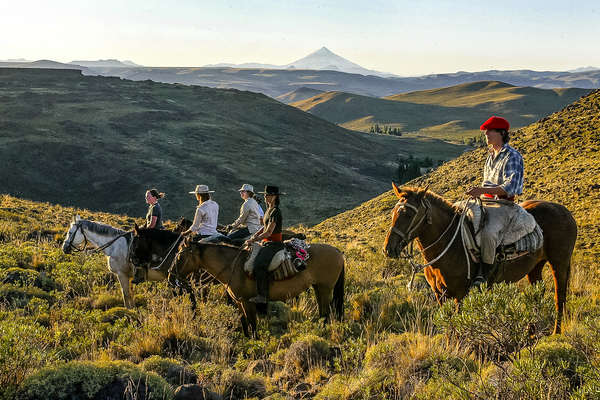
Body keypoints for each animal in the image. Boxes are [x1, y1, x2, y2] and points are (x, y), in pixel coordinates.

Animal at [170, 238, 346, 338]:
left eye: (180, 256)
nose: (171, 276)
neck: (233, 266)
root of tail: (338, 251)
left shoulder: (248, 302)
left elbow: (252, 323)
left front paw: (256, 342)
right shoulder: (239, 301)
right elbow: (243, 322)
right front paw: (247, 340)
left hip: (325, 288)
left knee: (325, 313)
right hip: (318, 287)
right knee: (324, 313)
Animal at [384, 184, 576, 334]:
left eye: (408, 214)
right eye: (393, 212)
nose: (388, 248)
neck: (451, 242)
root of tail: (566, 211)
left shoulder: (460, 295)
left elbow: (457, 325)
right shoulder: (440, 295)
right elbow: (447, 325)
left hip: (559, 263)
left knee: (560, 297)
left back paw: (555, 333)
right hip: (535, 267)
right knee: (537, 295)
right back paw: (531, 331)